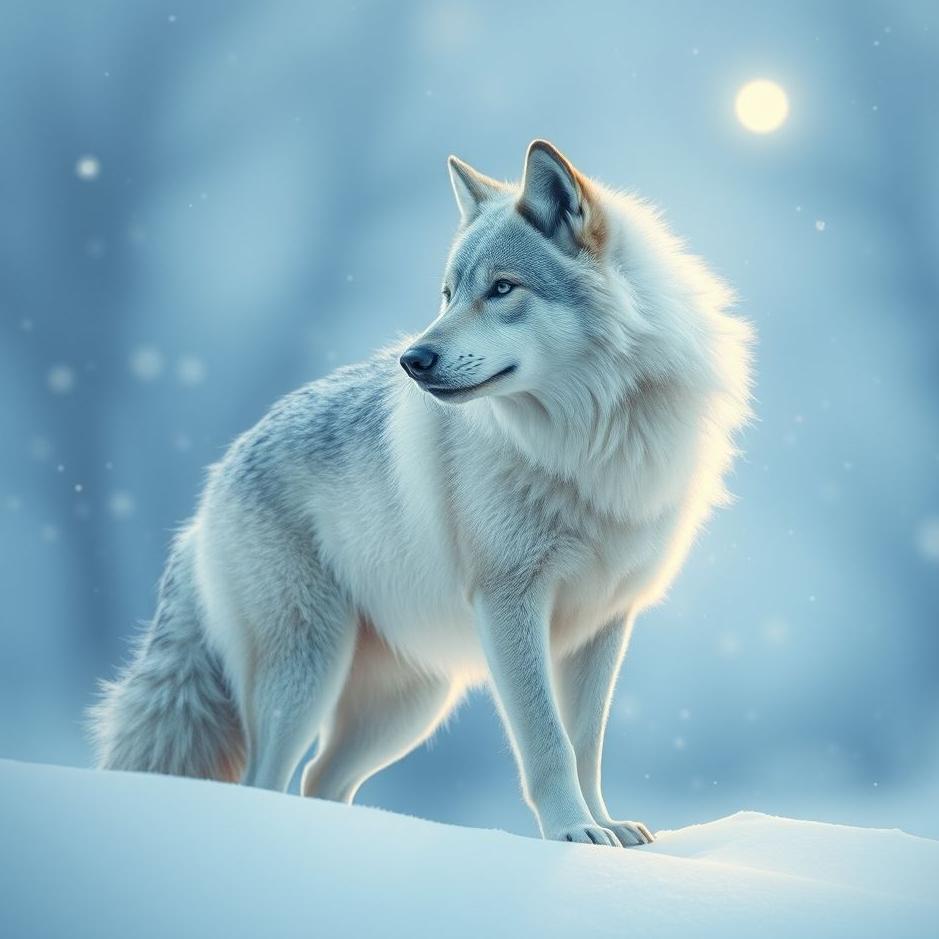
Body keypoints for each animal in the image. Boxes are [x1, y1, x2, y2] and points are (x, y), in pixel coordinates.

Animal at [90, 141, 752, 847]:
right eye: (448, 294)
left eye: (501, 288)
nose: (413, 360)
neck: (591, 444)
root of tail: (211, 488)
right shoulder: (510, 603)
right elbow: (549, 743)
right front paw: (572, 834)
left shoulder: (606, 621)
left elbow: (587, 744)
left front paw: (606, 830)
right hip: (308, 676)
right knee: (266, 781)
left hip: (408, 704)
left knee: (320, 780)